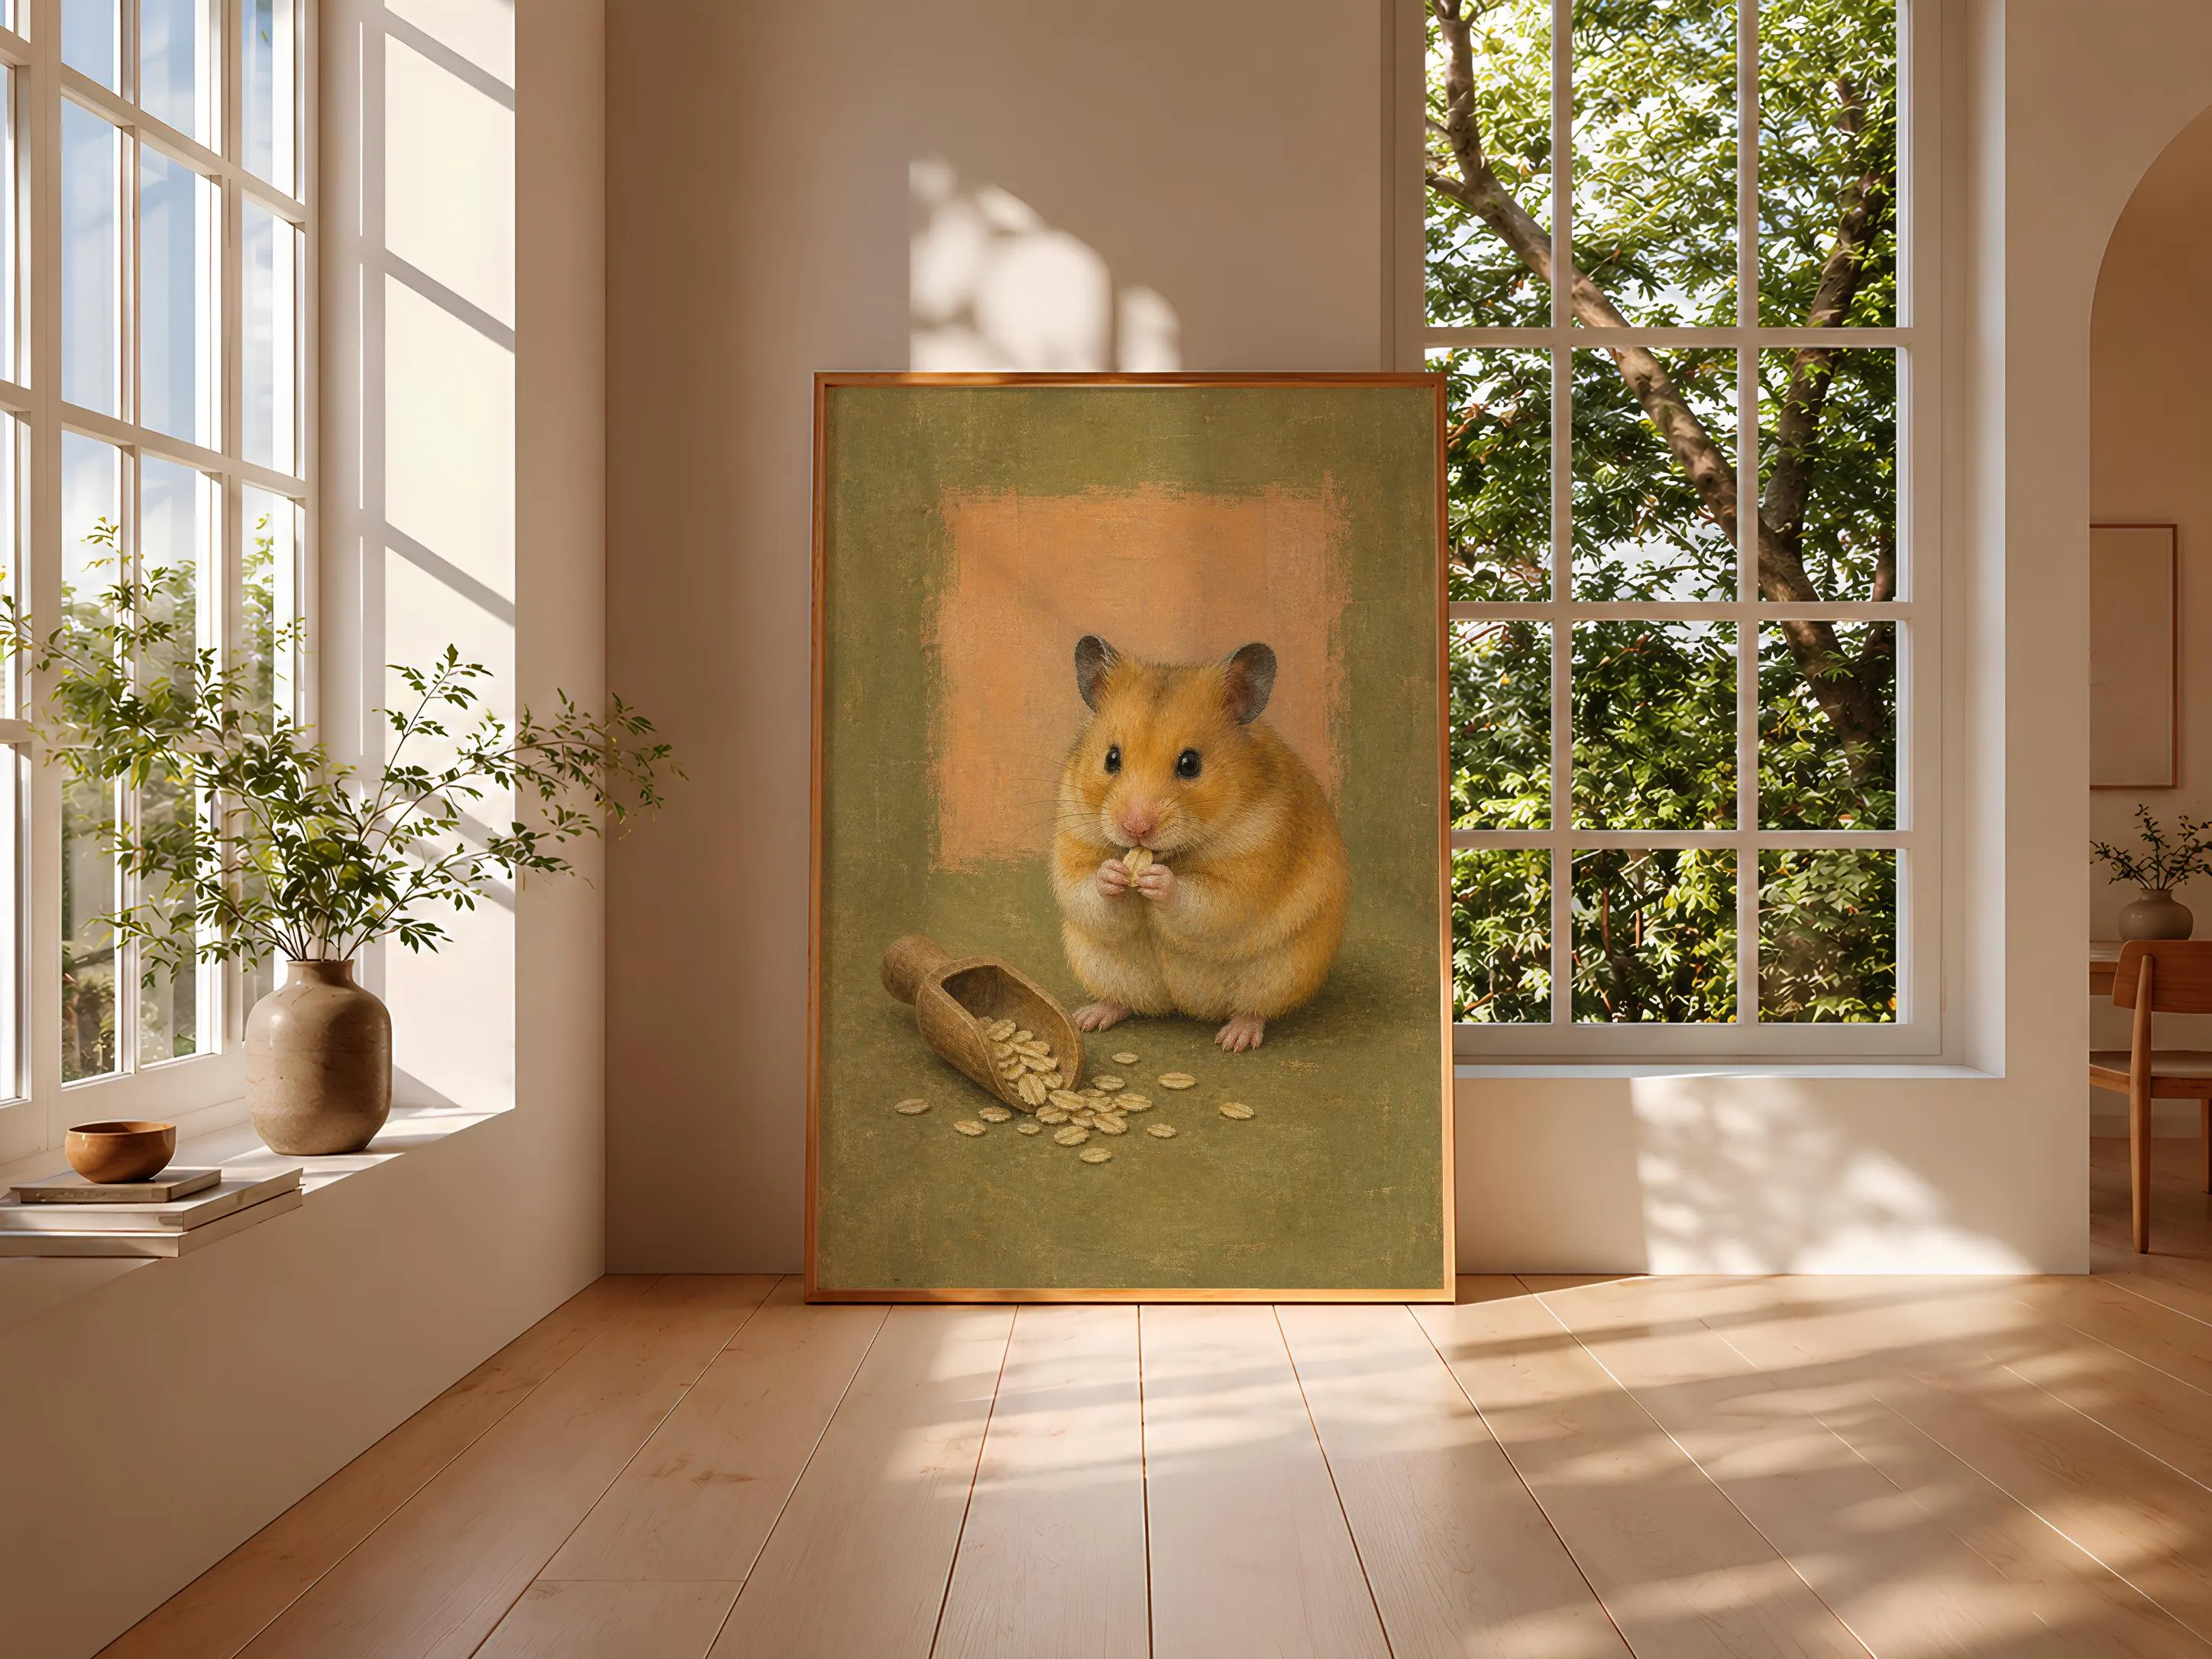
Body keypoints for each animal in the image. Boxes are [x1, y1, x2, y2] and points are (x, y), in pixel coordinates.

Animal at [1051, 634, 1350, 1052]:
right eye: (1111, 758)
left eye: (1190, 764)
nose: (1135, 828)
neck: (1168, 855)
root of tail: (1186, 1005)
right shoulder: (1072, 840)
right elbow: (1084, 890)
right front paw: (1113, 875)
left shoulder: (1252, 865)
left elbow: (1206, 905)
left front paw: (1158, 881)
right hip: (1103, 966)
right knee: (1126, 1001)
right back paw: (1088, 1019)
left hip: (1282, 973)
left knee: (1253, 1009)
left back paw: (1235, 1039)